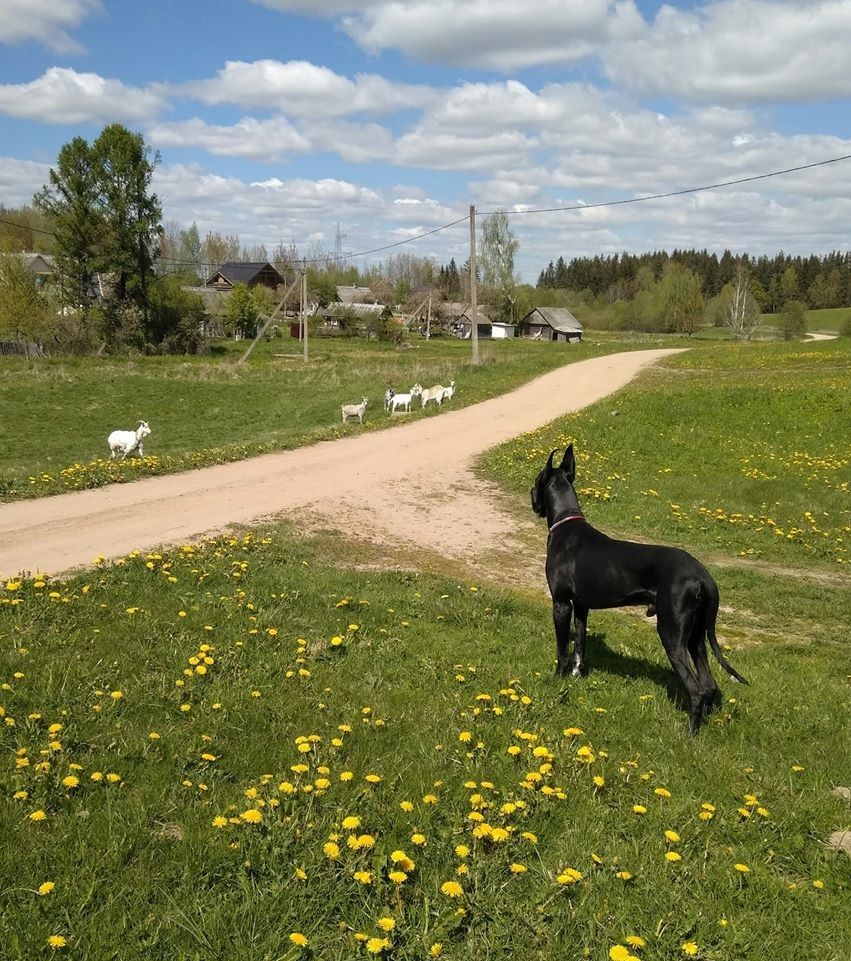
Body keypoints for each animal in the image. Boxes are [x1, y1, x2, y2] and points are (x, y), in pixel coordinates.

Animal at [531, 445, 748, 734]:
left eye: (536, 481)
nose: (531, 496)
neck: (565, 522)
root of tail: (704, 576)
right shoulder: (582, 606)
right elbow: (580, 643)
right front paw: (577, 675)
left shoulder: (562, 604)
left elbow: (563, 650)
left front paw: (558, 678)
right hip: (696, 636)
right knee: (709, 683)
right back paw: (706, 722)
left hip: (671, 632)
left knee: (697, 688)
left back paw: (689, 733)